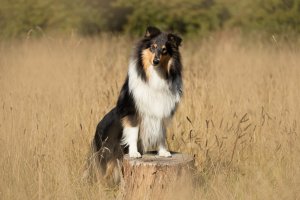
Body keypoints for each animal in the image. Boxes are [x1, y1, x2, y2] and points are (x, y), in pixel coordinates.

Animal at [86, 26, 183, 184]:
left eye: (164, 50)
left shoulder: (162, 113)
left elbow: (161, 134)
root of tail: (97, 128)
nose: (155, 61)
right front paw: (134, 153)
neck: (155, 76)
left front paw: (163, 152)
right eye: (152, 47)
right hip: (107, 156)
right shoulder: (132, 113)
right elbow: (133, 132)